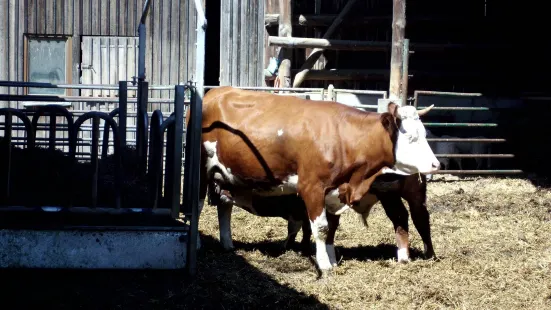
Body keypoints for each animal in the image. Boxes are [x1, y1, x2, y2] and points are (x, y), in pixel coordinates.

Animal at [188, 86, 442, 274]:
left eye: (425, 134)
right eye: (410, 137)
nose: (436, 165)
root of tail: (214, 92)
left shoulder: (334, 191)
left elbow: (330, 228)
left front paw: (329, 258)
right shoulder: (312, 187)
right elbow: (320, 227)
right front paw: (325, 265)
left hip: (226, 174)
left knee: (224, 205)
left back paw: (227, 244)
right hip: (201, 169)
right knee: (197, 205)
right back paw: (197, 244)